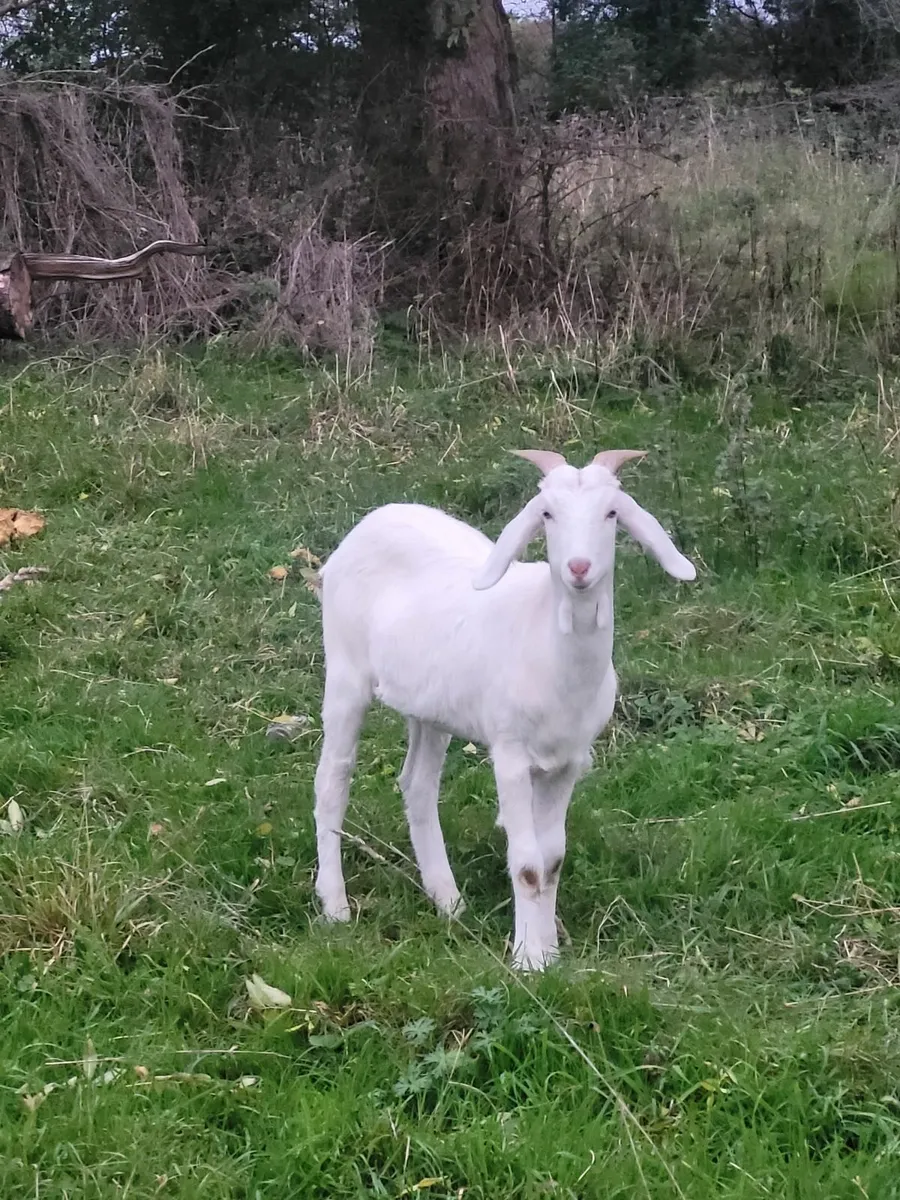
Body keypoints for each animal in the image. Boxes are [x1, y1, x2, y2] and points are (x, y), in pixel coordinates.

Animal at [312, 448, 696, 969]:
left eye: (613, 513)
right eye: (547, 514)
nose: (578, 567)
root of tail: (371, 521)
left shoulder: (567, 762)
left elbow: (552, 860)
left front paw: (549, 951)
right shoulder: (510, 754)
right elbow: (529, 865)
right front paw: (527, 960)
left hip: (431, 707)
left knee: (417, 785)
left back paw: (448, 901)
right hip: (345, 675)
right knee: (333, 780)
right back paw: (335, 906)